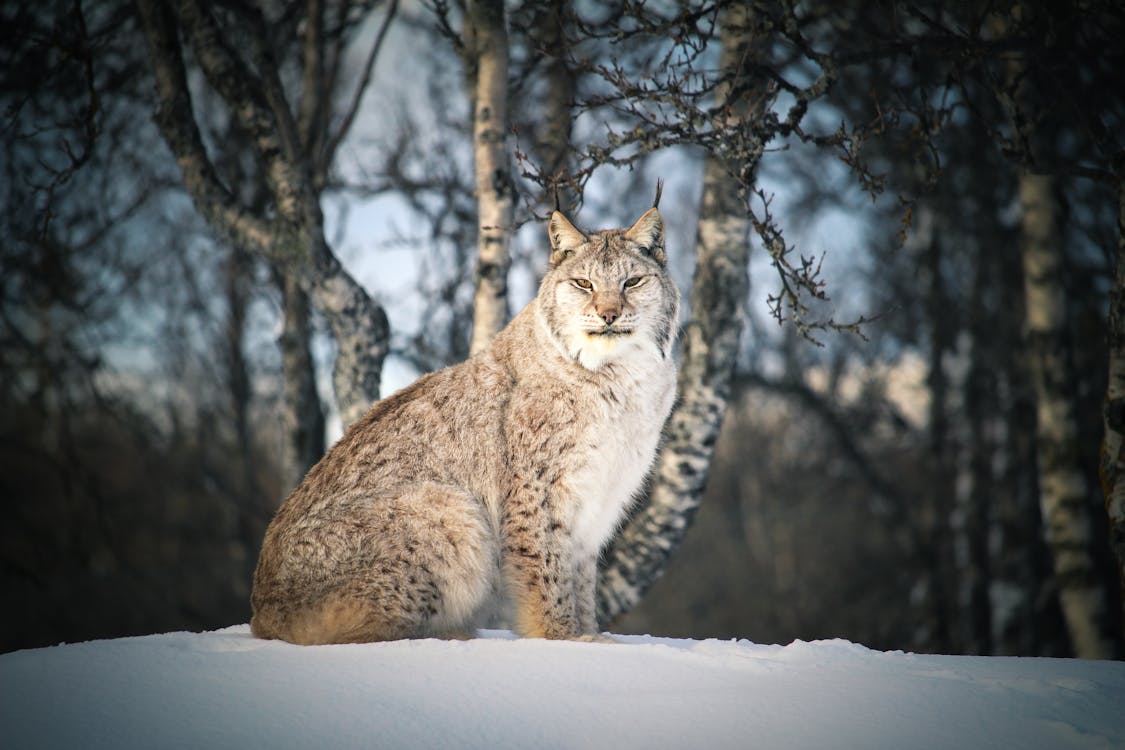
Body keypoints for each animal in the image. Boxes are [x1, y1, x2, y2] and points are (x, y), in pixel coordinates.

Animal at [253, 188, 675, 647]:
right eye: (584, 284)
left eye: (632, 282)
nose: (608, 314)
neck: (618, 374)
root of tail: (262, 606)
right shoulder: (536, 490)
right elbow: (546, 570)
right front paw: (559, 638)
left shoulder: (596, 500)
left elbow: (579, 578)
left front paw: (589, 636)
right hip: (451, 504)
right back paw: (454, 635)